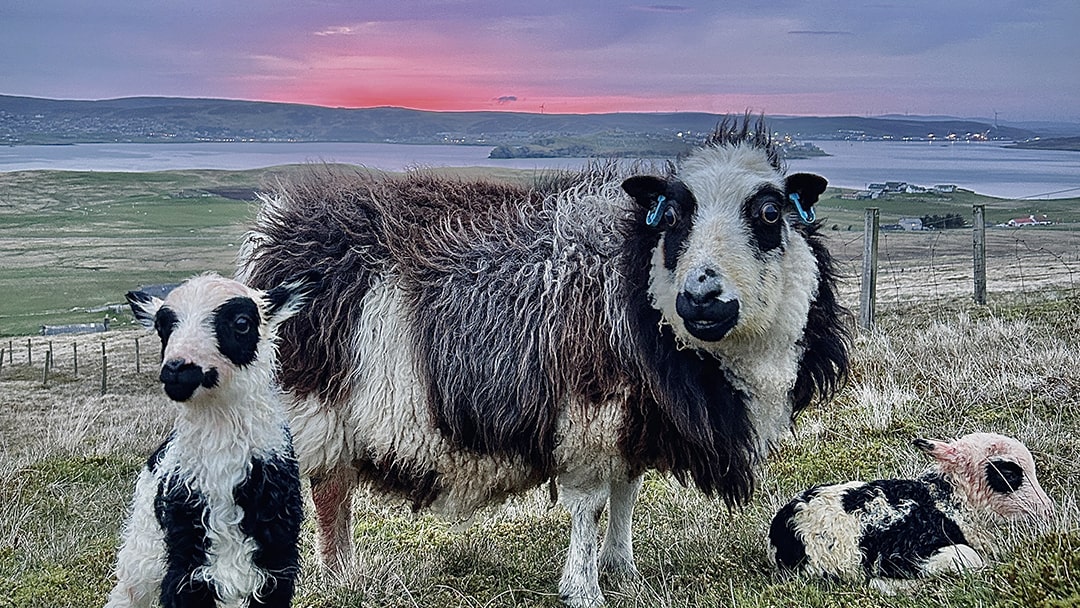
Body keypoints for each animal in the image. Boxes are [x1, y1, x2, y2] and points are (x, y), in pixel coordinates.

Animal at [105, 272, 319, 608]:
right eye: (162, 327)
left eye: (242, 323)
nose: (177, 369)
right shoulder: (185, 567)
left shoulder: (276, 565)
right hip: (144, 544)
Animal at [236, 115, 851, 608]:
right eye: (672, 217)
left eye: (769, 213)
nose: (701, 297)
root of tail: (276, 229)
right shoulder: (590, 416)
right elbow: (589, 506)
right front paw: (585, 589)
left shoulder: (633, 422)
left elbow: (626, 493)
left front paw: (623, 570)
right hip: (310, 406)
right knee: (320, 490)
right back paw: (325, 575)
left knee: (331, 487)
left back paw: (341, 575)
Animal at [768, 429, 1054, 591]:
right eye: (1008, 472)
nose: (1047, 510)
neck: (949, 503)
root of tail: (782, 523)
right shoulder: (900, 555)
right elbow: (969, 558)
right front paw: (888, 586)